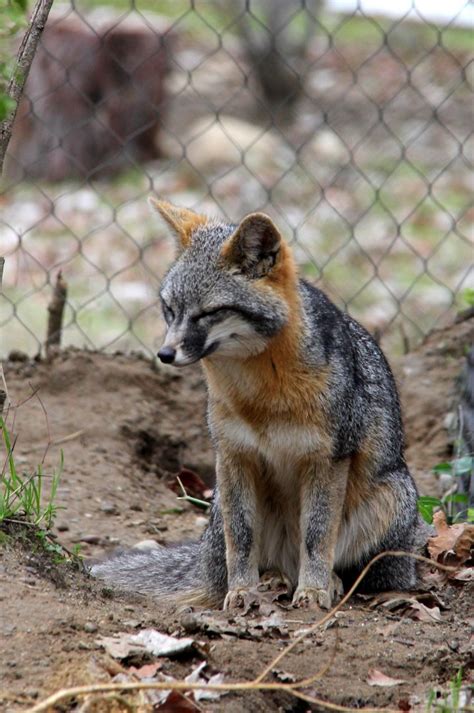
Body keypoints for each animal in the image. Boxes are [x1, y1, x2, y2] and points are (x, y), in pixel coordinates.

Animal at [90, 202, 424, 612]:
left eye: (208, 313)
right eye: (169, 309)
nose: (164, 354)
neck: (261, 398)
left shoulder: (326, 460)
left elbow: (317, 537)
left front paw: (313, 590)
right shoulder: (234, 455)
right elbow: (242, 537)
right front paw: (241, 591)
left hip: (392, 497)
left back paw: (327, 582)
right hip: (223, 504)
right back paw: (270, 581)